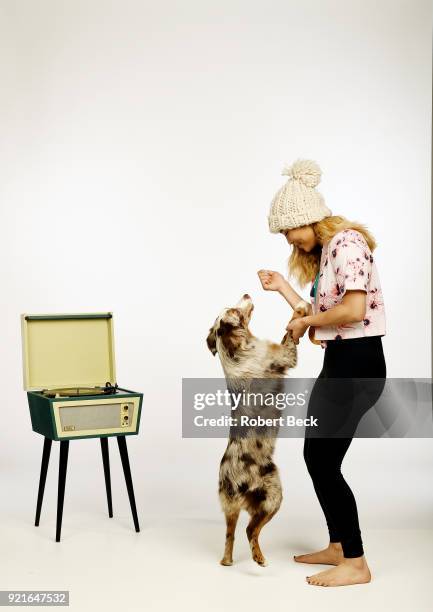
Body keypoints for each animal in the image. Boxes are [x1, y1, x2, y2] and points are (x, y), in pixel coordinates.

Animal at [207, 294, 302, 568]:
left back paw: (228, 562)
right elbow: (289, 333)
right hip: (274, 496)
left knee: (230, 536)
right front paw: (301, 308)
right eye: (234, 310)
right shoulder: (284, 355)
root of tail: (232, 479)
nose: (247, 293)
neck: (236, 351)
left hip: (230, 508)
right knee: (251, 530)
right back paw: (259, 558)